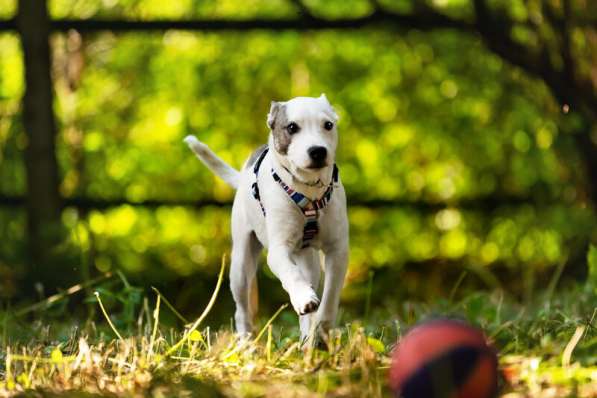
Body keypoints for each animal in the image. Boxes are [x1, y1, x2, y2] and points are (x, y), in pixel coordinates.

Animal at [184, 95, 346, 340]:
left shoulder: (338, 250)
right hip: (241, 267)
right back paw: (246, 341)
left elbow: (330, 295)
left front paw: (322, 329)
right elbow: (290, 272)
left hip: (308, 260)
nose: (318, 151)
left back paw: (307, 337)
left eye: (328, 125)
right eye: (291, 127)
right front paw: (303, 298)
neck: (309, 190)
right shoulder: (279, 250)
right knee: (242, 310)